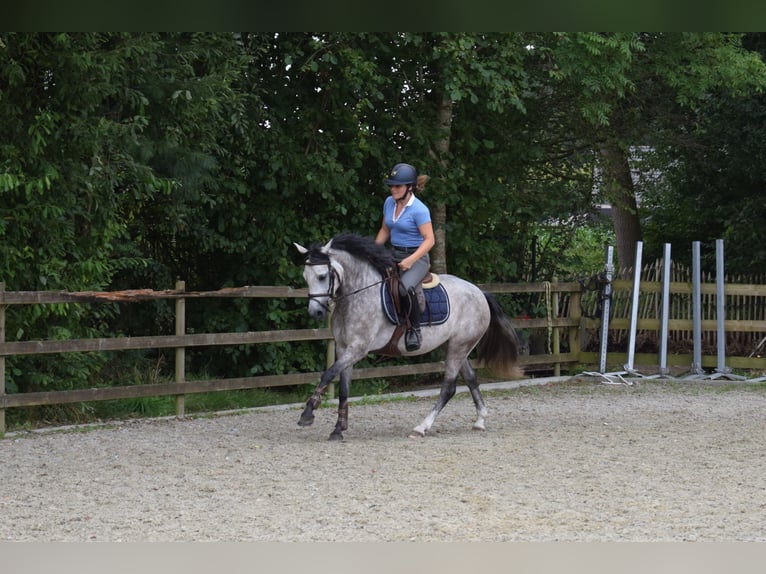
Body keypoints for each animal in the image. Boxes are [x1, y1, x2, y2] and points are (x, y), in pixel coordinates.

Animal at [294, 233, 520, 440]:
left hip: (460, 345)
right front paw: (338, 429)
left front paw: (307, 414)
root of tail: (479, 292)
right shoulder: (344, 348)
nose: (315, 313)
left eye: (322, 276)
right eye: (305, 277)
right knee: (471, 378)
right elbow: (343, 389)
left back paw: (422, 427)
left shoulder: (358, 348)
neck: (357, 293)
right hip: (453, 345)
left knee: (448, 386)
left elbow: (328, 374)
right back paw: (480, 420)